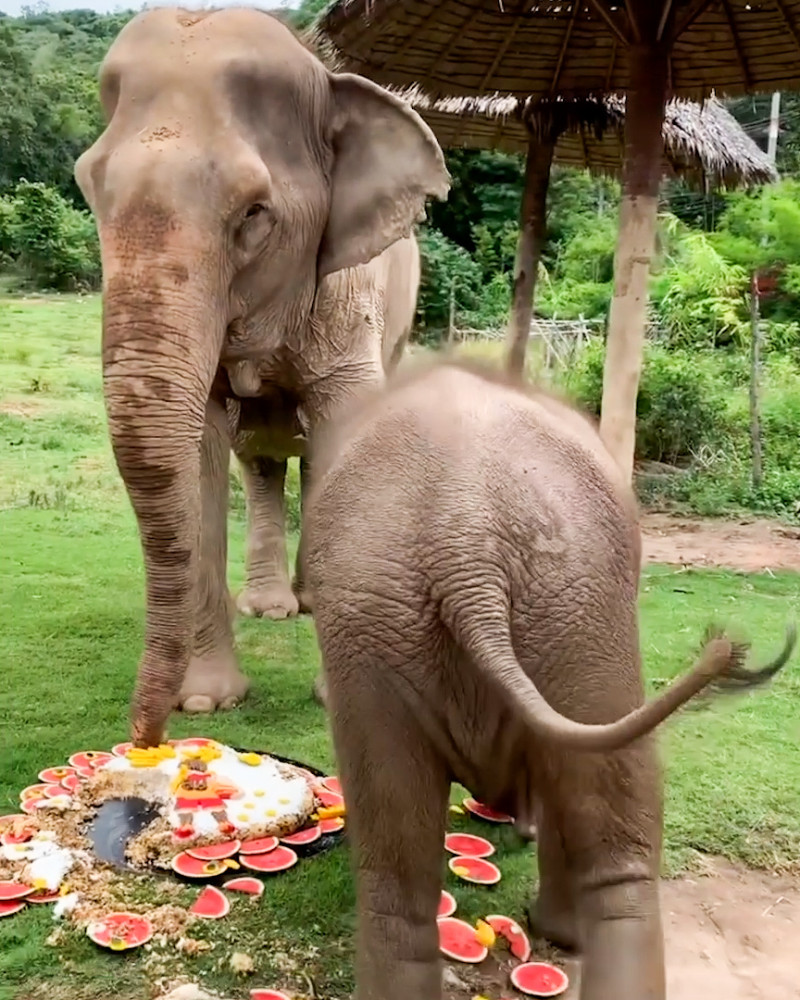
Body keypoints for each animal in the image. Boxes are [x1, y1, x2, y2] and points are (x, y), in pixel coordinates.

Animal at [302, 360, 792, 1000]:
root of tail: (465, 542)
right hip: (573, 599)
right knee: (615, 854)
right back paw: (567, 928)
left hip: (393, 618)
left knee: (395, 880)